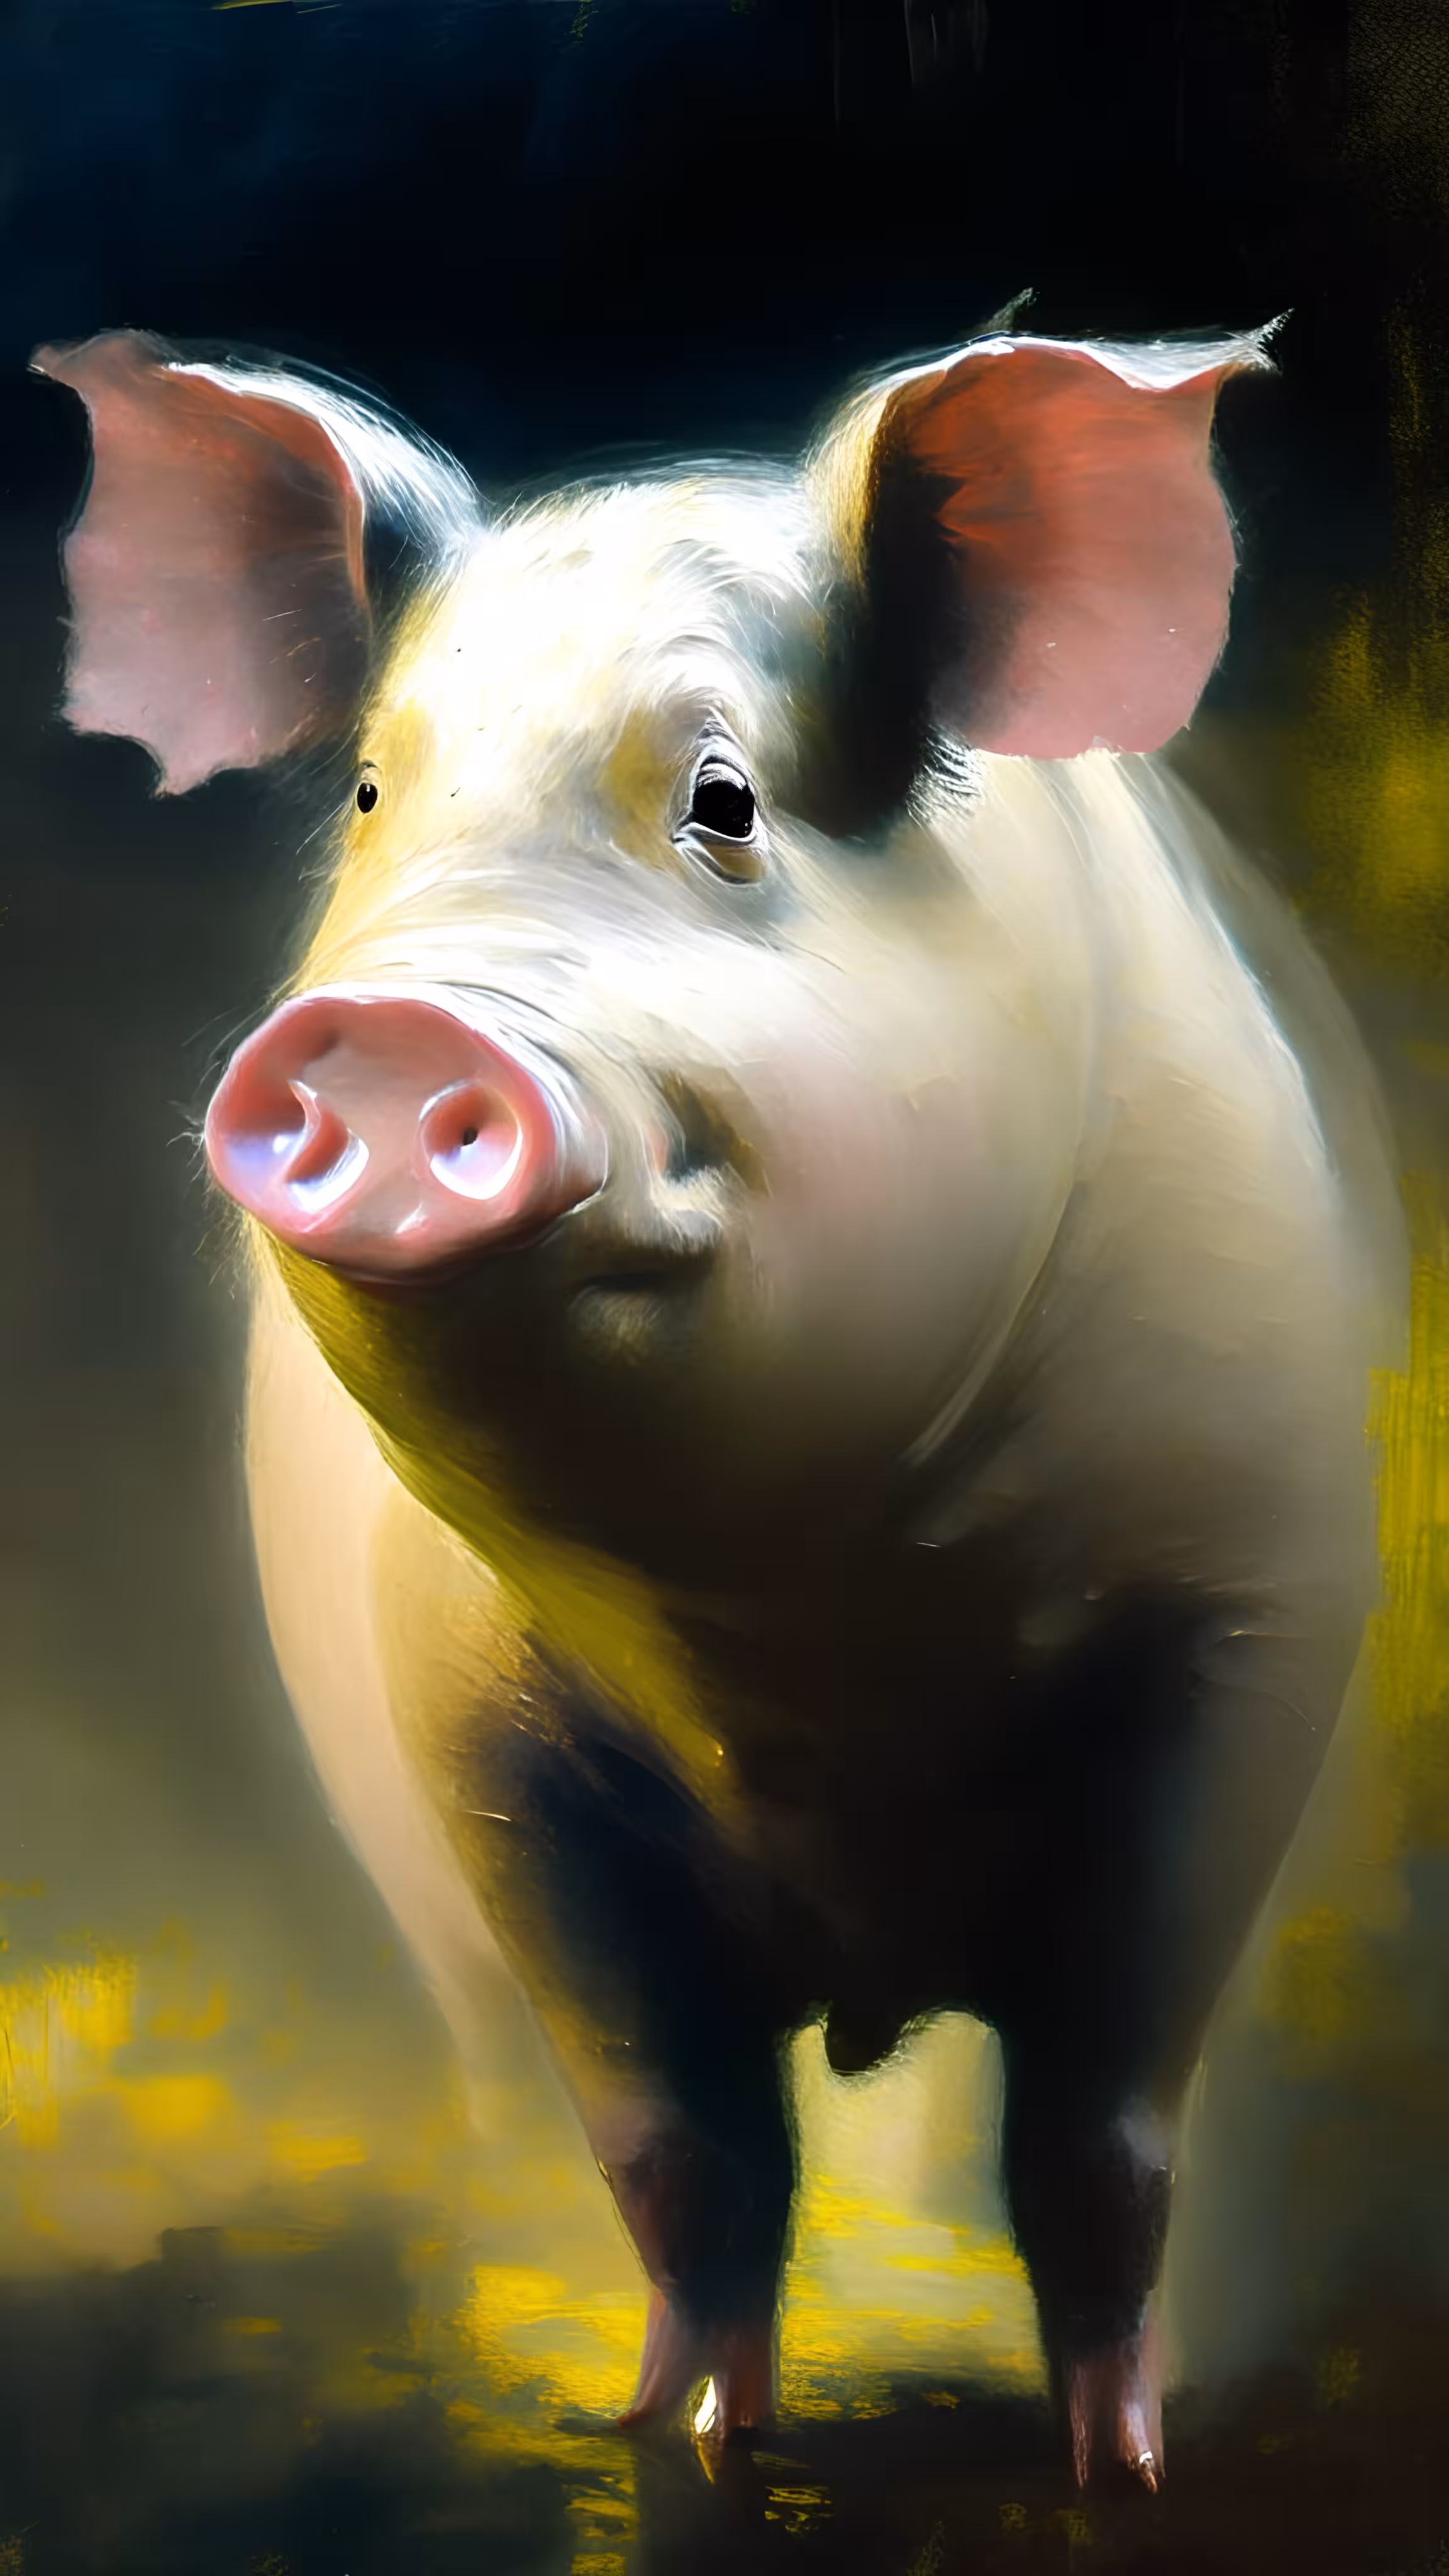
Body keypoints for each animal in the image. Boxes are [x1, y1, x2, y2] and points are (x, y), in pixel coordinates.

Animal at [33, 320, 1404, 2491]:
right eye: (372, 793)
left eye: (724, 798)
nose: (380, 1031)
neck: (802, 1639)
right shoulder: (480, 1736)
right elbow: (677, 2139)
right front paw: (682, 2437)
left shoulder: (1242, 1633)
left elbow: (1099, 2133)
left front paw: (1121, 2462)